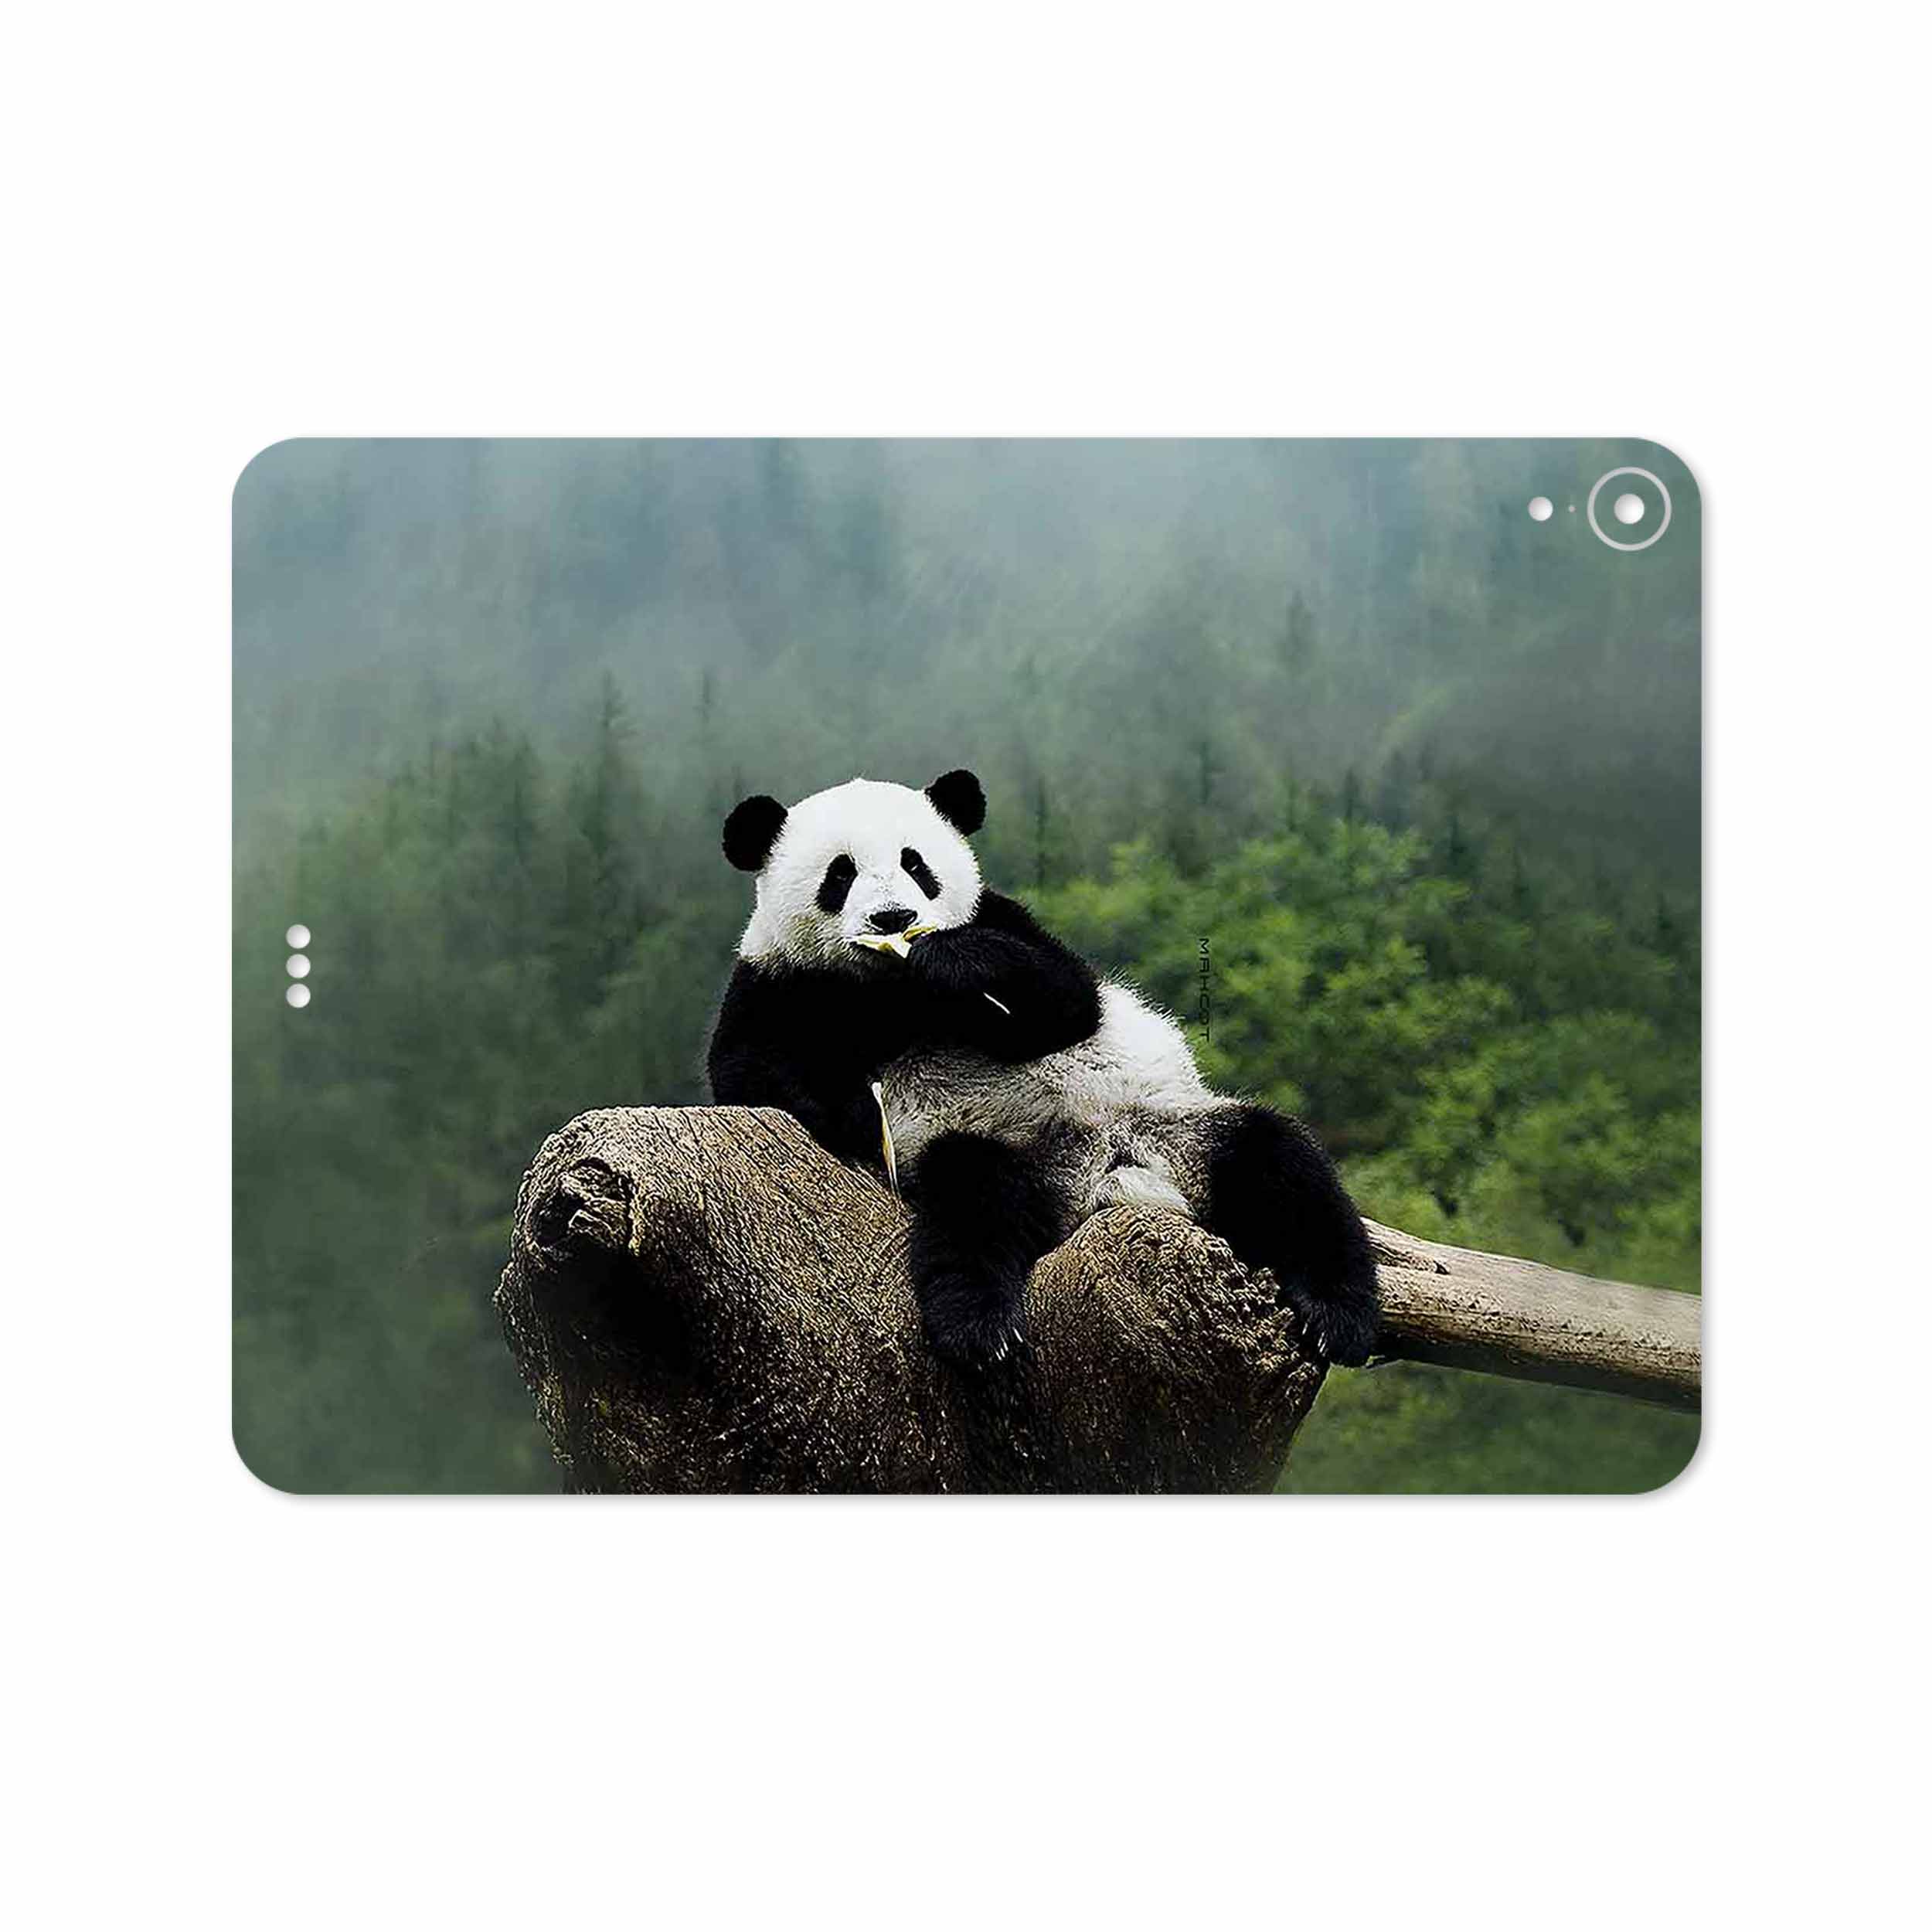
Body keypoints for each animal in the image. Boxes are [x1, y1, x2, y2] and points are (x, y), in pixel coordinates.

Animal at [707, 768, 1380, 1369]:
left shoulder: (1002, 919)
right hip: (999, 1149)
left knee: (1282, 1166)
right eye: (840, 873)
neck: (890, 989)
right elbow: (749, 1072)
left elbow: (1068, 1000)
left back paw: (1338, 1316)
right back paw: (979, 1328)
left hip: (1178, 1127)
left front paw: (952, 961)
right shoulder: (778, 982)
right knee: (973, 1203)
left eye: (916, 865)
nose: (894, 919)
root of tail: (1106, 1178)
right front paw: (854, 1112)